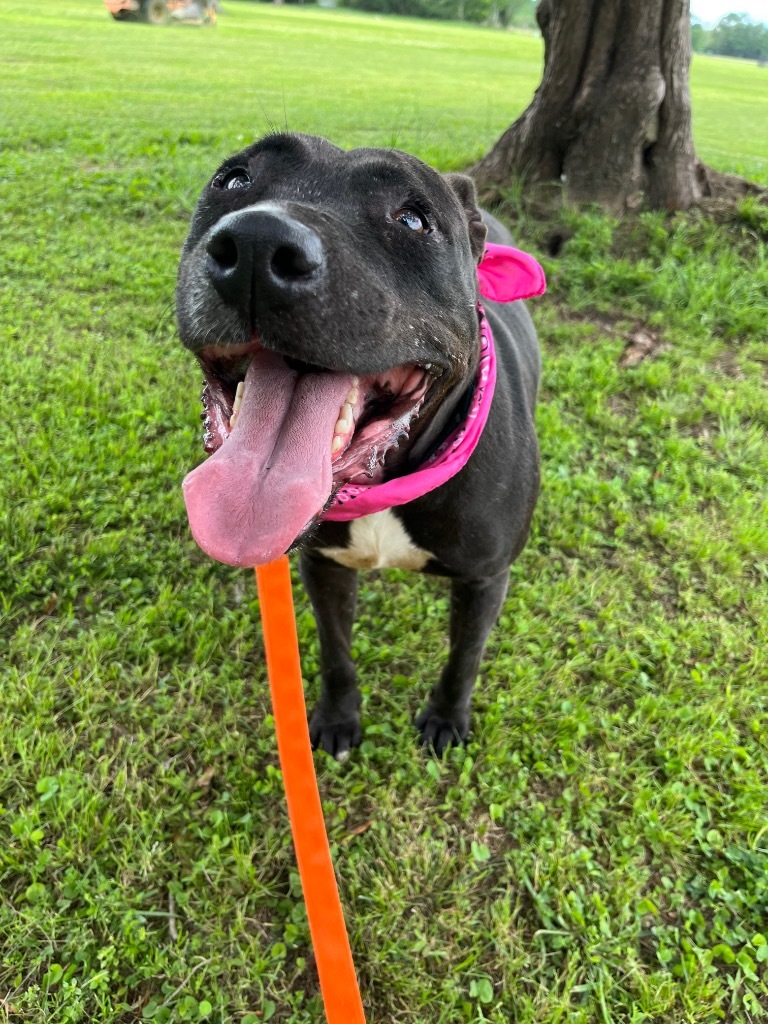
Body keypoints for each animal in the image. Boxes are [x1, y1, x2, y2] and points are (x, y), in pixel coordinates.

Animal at [177, 132, 544, 757]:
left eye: (414, 219)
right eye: (235, 179)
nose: (255, 244)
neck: (386, 483)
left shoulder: (485, 579)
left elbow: (464, 658)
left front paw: (446, 718)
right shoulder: (323, 566)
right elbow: (336, 650)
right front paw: (337, 717)